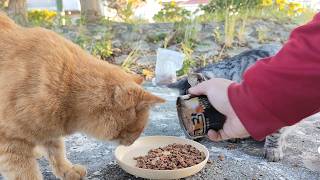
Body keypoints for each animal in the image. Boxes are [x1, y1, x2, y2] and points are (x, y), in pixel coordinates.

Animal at [0, 12, 165, 180]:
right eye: (137, 129)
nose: (132, 143)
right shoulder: (10, 142)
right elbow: (26, 172)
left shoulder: (49, 129)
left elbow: (57, 151)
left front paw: (67, 170)